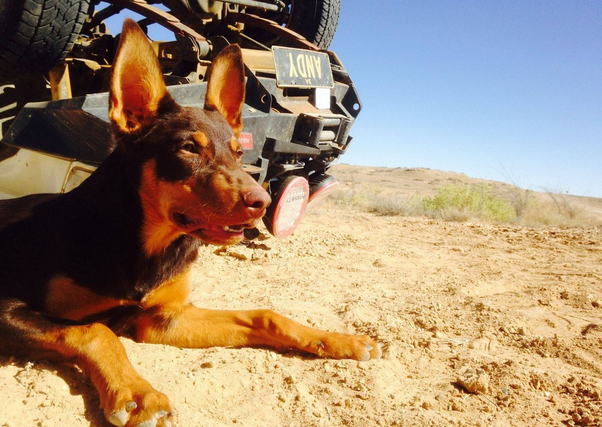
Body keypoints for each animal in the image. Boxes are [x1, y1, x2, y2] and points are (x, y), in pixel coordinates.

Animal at [0, 19, 380, 427]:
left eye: (239, 152)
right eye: (188, 148)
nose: (262, 204)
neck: (144, 243)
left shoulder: (167, 318)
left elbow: (266, 315)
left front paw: (340, 340)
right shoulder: (8, 309)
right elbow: (96, 330)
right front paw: (138, 394)